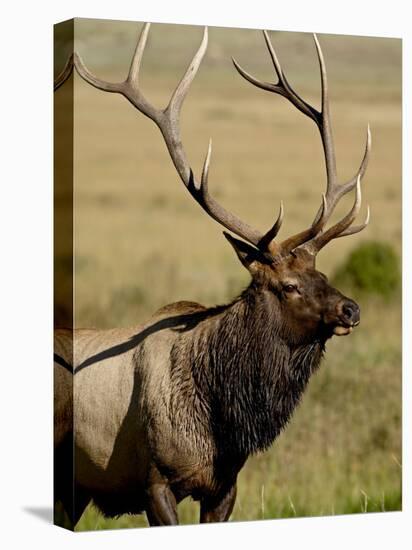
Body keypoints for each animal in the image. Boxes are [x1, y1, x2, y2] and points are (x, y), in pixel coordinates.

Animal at [53, 22, 372, 532]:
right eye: (288, 286)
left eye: (320, 272)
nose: (351, 308)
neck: (220, 422)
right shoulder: (155, 482)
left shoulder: (225, 486)